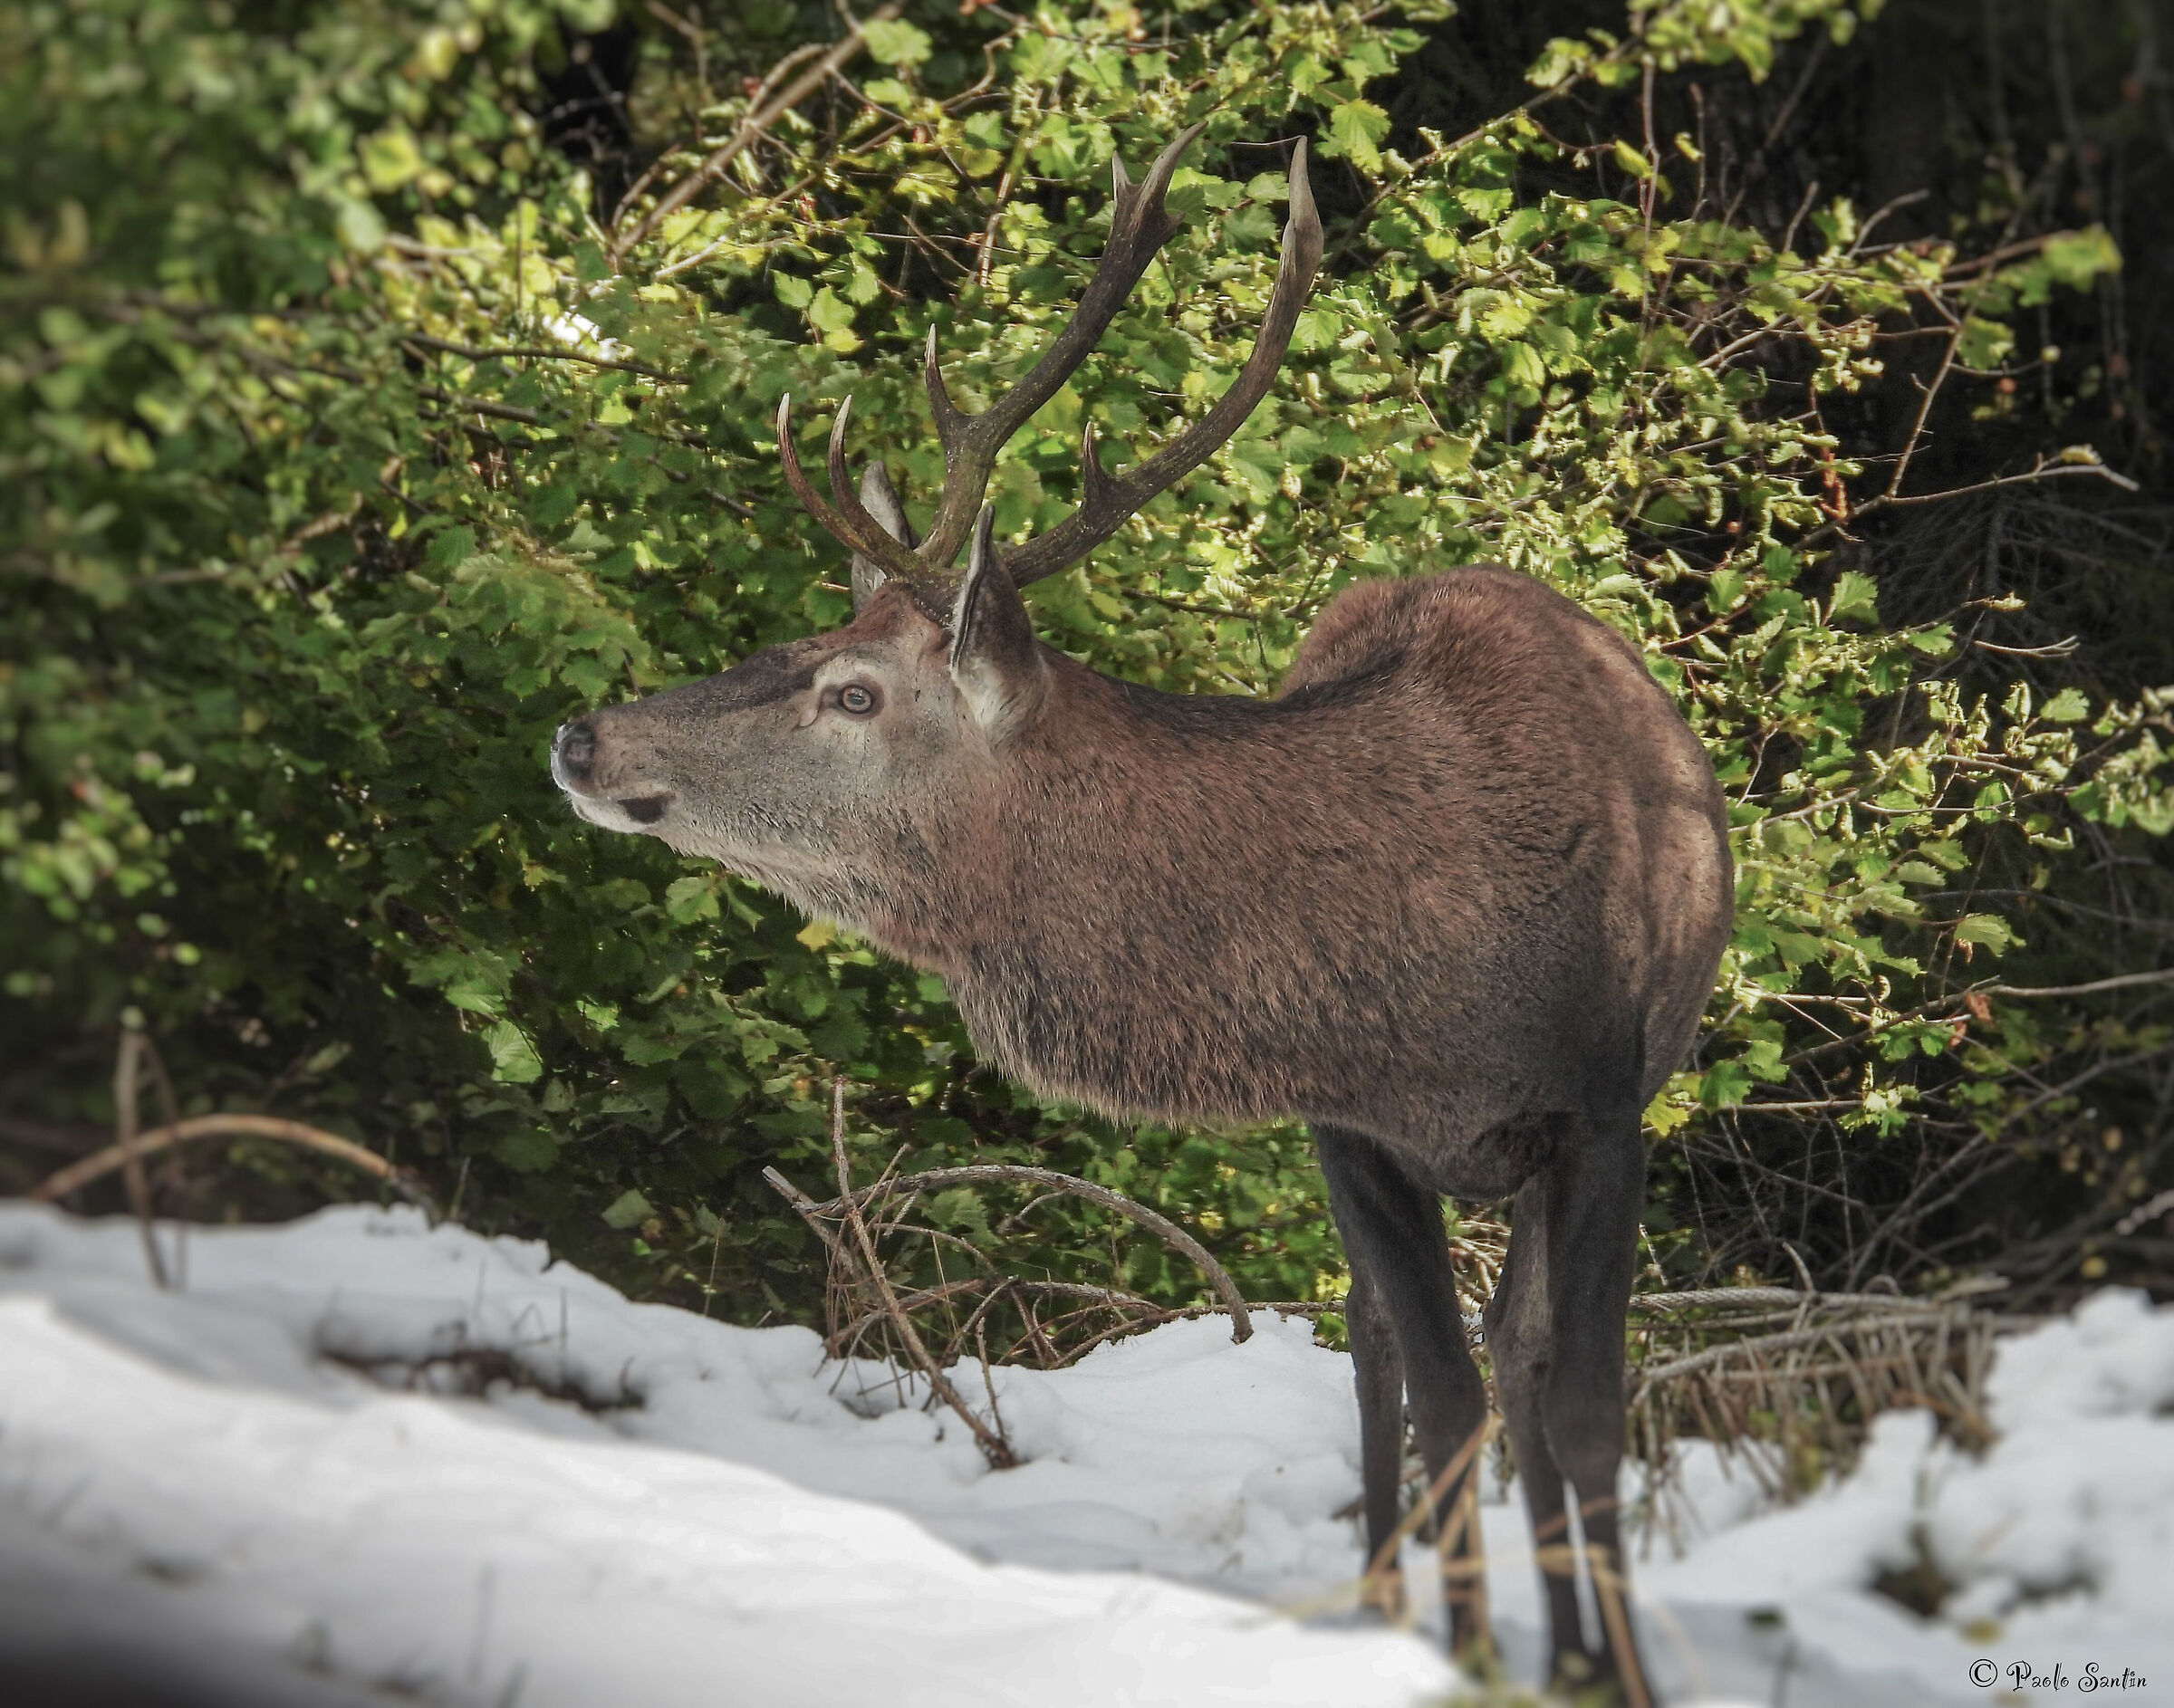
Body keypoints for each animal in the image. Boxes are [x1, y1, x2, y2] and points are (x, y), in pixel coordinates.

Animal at [550, 126, 1731, 1706]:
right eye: (806, 639)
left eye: (853, 689)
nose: (585, 736)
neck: (1434, 984)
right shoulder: (1349, 1121)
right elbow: (1443, 1396)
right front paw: (1470, 1654)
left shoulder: (1602, 1109)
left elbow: (1585, 1408)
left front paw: (1607, 1669)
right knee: (1394, 1354)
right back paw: (1397, 1599)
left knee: (1527, 1363)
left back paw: (1578, 1647)